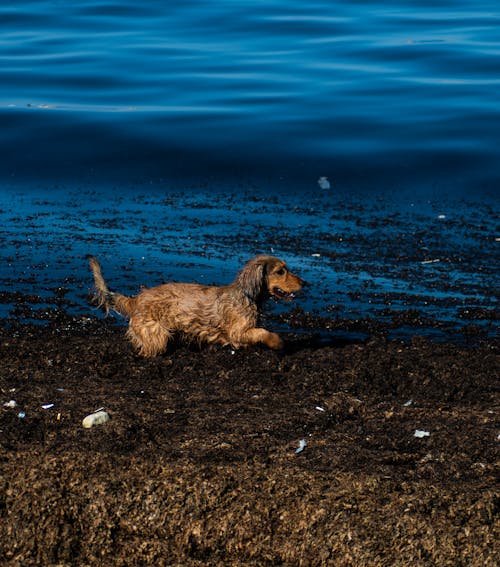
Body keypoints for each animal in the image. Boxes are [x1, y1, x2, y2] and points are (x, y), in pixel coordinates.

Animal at [89, 255, 304, 358]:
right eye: (280, 271)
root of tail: (135, 300)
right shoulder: (237, 332)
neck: (246, 295)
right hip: (157, 334)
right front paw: (278, 343)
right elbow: (263, 332)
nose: (305, 282)